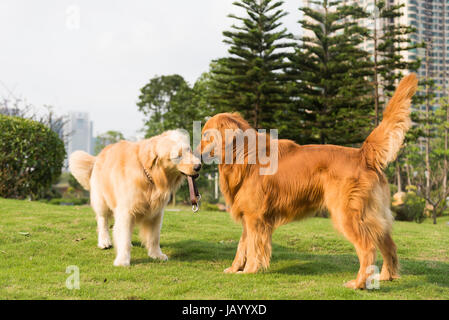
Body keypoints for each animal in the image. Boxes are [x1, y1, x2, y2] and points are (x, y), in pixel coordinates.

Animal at [69, 129, 200, 266]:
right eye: (177, 156)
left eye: (189, 150)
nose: (199, 166)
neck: (151, 178)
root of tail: (99, 156)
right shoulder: (126, 211)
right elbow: (124, 236)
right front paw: (122, 260)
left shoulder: (157, 213)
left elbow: (154, 237)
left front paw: (156, 254)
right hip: (101, 201)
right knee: (102, 221)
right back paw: (104, 241)